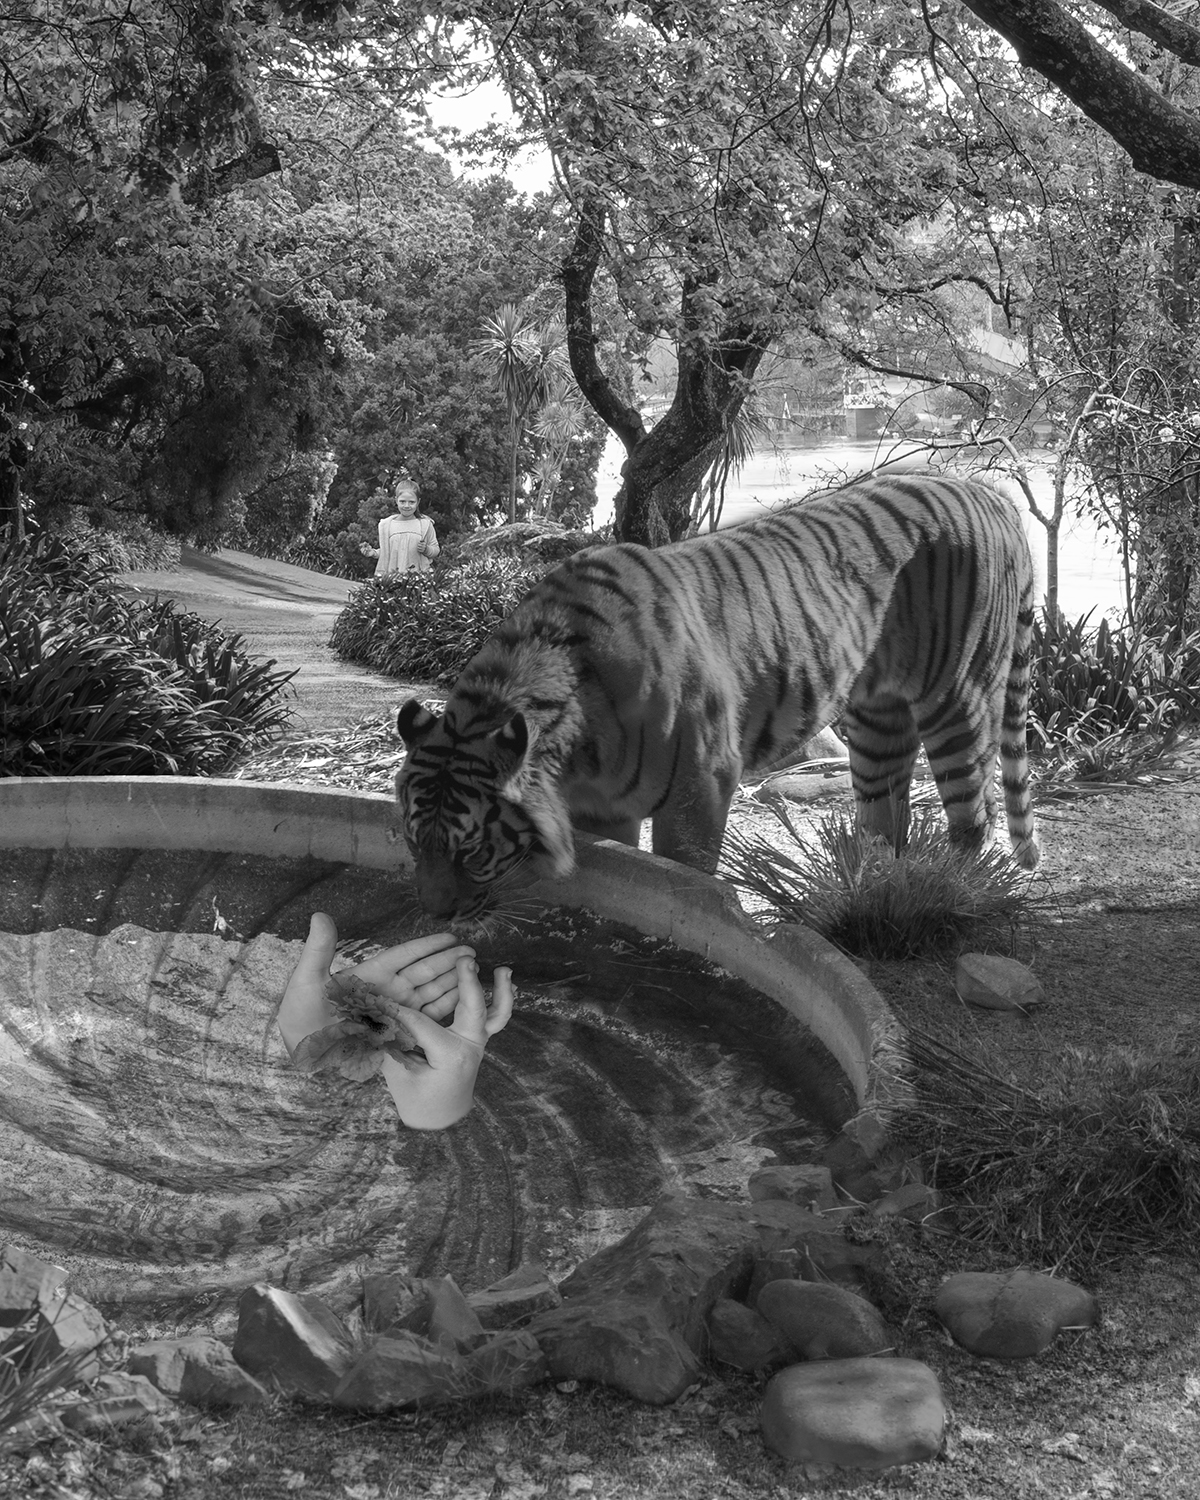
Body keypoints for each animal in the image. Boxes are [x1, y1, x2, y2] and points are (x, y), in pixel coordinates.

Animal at [395, 472, 1040, 921]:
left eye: (472, 852)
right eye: (412, 840)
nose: (435, 914)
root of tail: (993, 494)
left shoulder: (698, 787)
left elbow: (684, 876)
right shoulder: (603, 808)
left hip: (958, 699)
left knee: (975, 815)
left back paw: (950, 895)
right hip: (878, 718)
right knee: (886, 817)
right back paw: (871, 893)